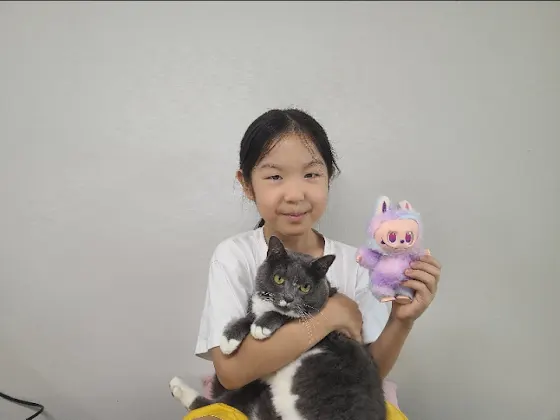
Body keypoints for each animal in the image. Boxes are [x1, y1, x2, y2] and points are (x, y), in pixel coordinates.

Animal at [170, 235, 386, 420]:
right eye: (279, 279)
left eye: (305, 287)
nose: (288, 298)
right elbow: (248, 317)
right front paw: (229, 338)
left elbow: (287, 316)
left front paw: (262, 326)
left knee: (220, 405)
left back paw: (179, 388)